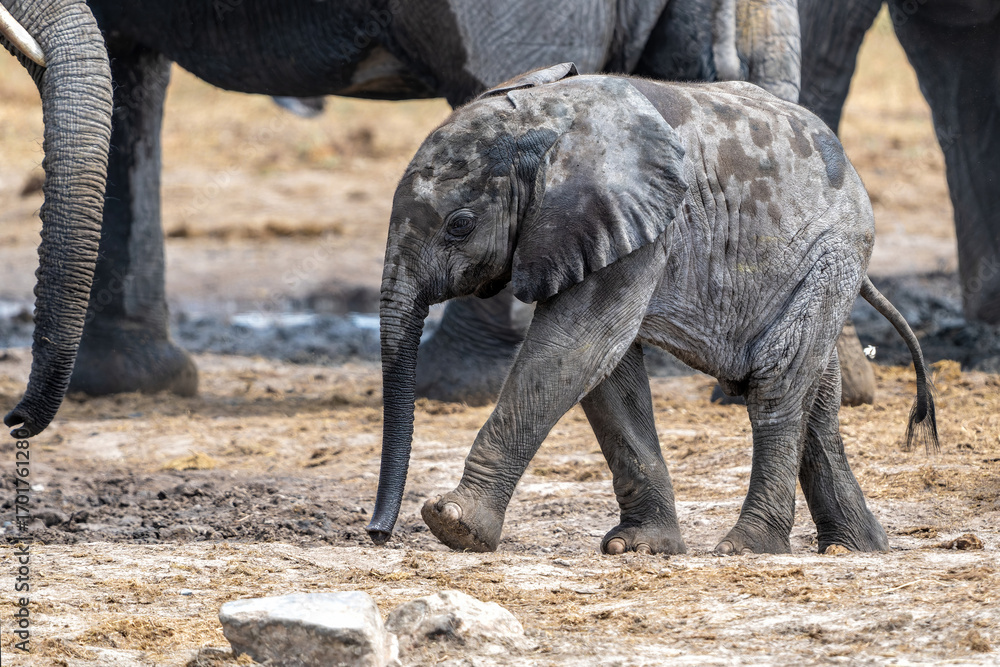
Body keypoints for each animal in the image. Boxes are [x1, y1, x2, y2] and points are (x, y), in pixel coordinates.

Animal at [366, 64, 939, 555]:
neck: (546, 117)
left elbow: (576, 347)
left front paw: (452, 524)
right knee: (816, 396)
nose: (377, 534)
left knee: (777, 381)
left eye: (459, 225)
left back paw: (748, 547)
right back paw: (856, 547)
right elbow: (607, 369)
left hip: (832, 252)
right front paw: (638, 547)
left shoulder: (630, 220)